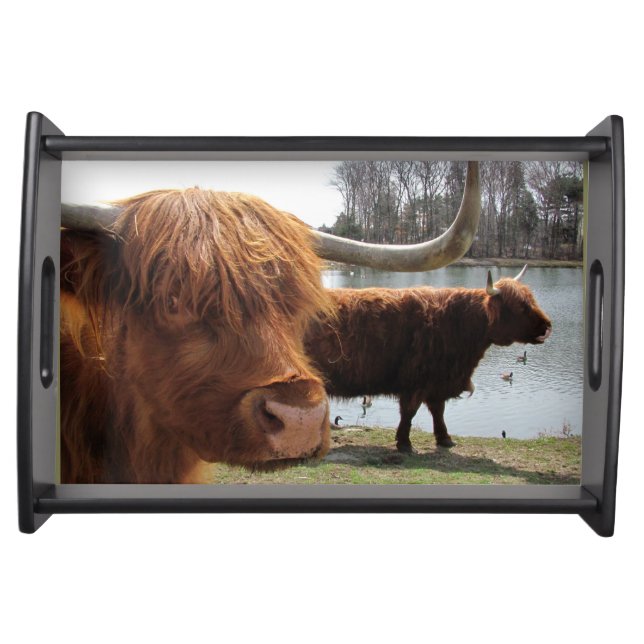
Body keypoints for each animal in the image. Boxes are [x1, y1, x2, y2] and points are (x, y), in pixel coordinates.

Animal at [304, 267, 552, 453]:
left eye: (531, 300)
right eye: (521, 306)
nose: (547, 326)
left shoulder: (437, 380)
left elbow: (438, 411)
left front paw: (445, 439)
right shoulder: (416, 380)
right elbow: (409, 413)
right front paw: (405, 443)